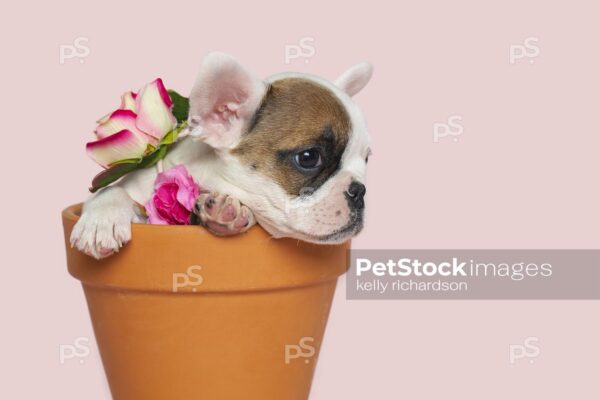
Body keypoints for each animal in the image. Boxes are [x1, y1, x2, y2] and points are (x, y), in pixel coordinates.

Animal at [69, 52, 370, 260]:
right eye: (308, 157)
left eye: (366, 160)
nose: (360, 190)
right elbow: (112, 191)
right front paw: (101, 221)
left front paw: (228, 212)